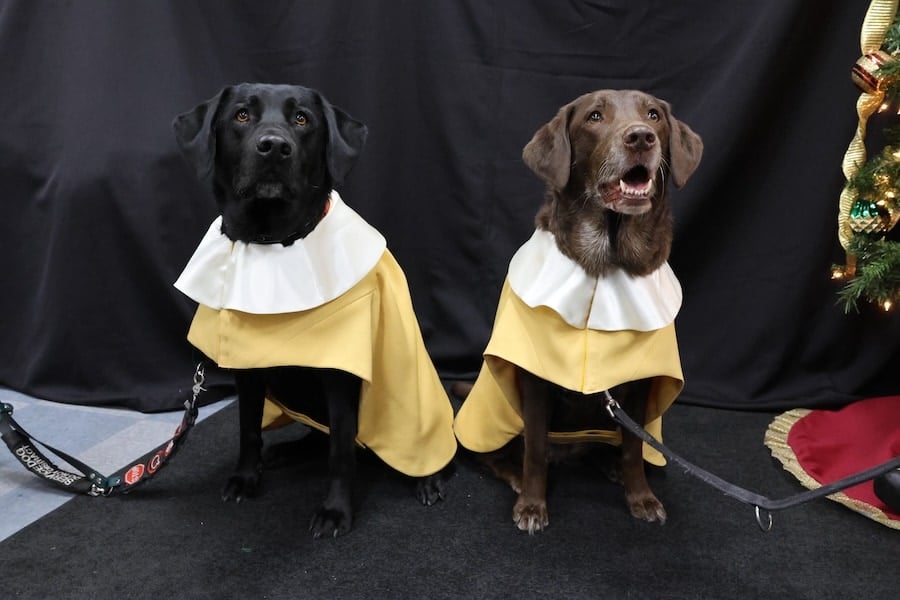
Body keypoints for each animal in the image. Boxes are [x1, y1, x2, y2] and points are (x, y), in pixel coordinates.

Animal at [172, 82, 454, 536]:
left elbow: (340, 450)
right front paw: (245, 477)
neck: (270, 240)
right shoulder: (248, 372)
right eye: (241, 115)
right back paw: (286, 452)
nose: (273, 147)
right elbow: (247, 428)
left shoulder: (340, 375)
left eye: (302, 119)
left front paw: (335, 511)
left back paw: (428, 479)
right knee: (317, 437)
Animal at [458, 88, 704, 528]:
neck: (605, 264)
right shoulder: (535, 381)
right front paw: (532, 504)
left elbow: (632, 449)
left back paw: (608, 466)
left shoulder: (640, 385)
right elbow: (535, 450)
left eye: (653, 115)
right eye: (594, 117)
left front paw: (640, 496)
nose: (640, 137)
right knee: (488, 454)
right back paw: (514, 475)